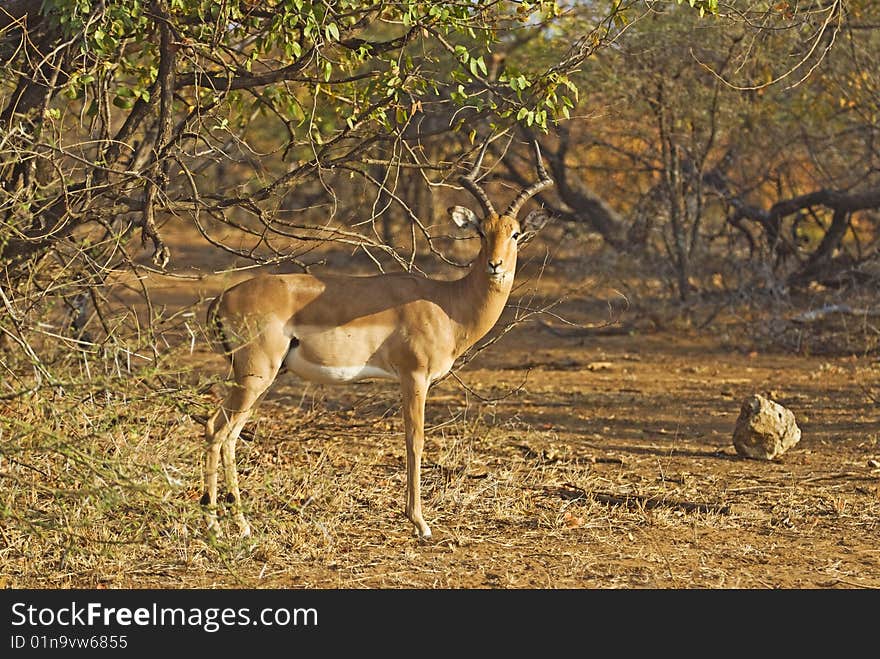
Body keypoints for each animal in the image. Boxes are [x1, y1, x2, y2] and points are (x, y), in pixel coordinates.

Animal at [203, 141, 552, 540]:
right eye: (482, 232)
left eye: (515, 233)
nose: (496, 265)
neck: (447, 304)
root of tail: (222, 298)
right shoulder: (414, 377)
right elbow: (415, 440)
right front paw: (420, 522)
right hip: (255, 375)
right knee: (219, 431)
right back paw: (217, 524)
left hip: (258, 379)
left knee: (223, 432)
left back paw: (237, 524)